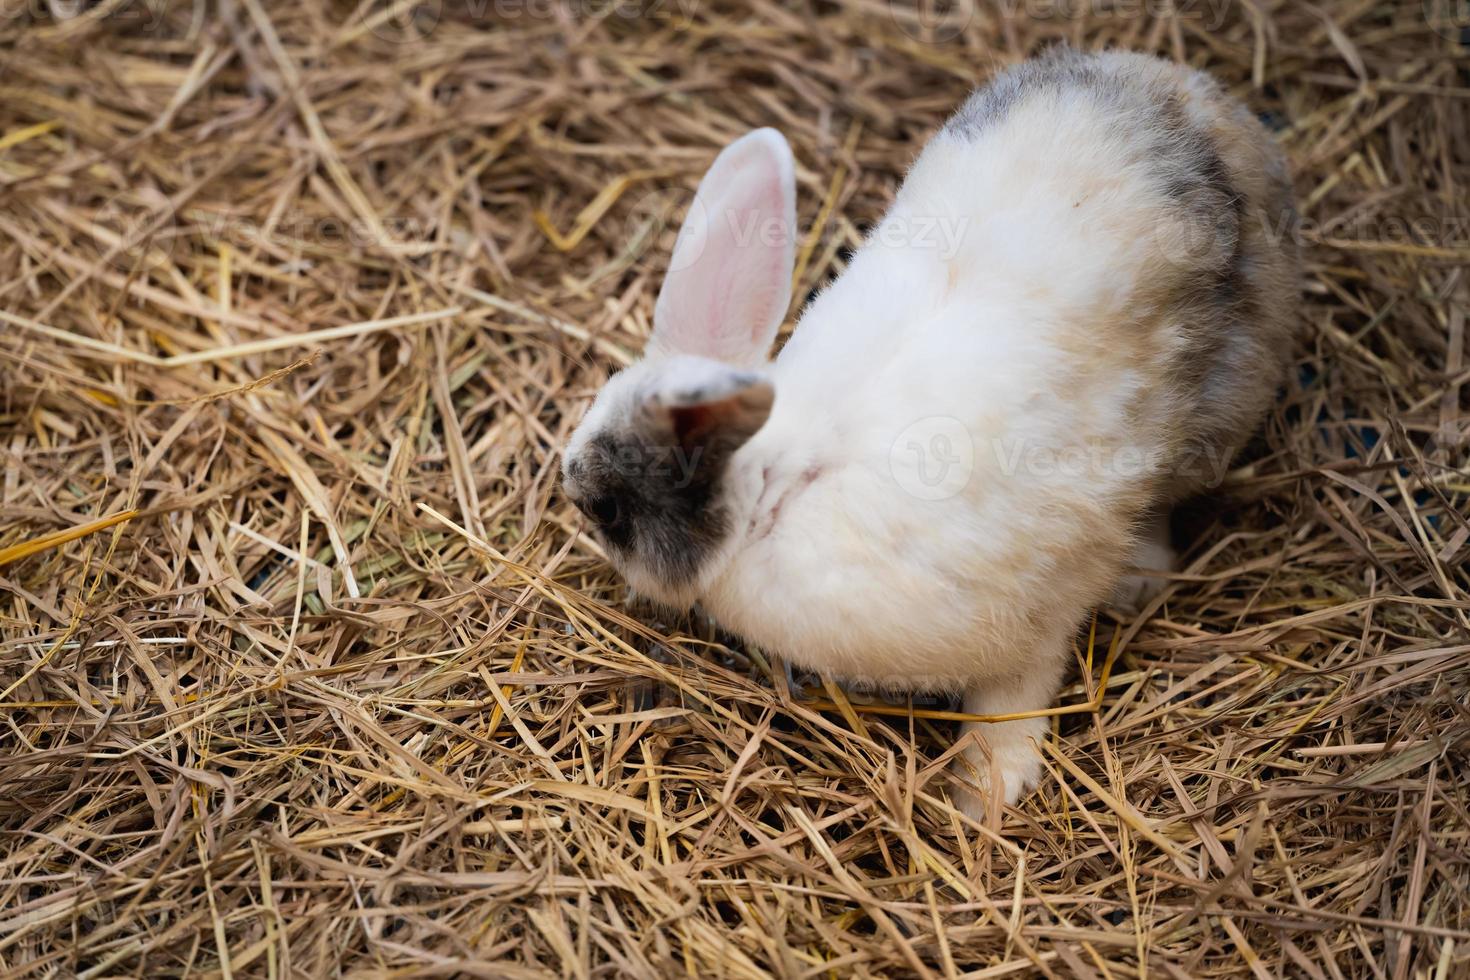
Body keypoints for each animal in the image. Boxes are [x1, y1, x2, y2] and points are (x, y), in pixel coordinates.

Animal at [558, 49, 1299, 822]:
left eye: (608, 508)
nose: (572, 491)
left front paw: (985, 792)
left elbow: (1016, 694)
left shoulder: (1043, 604)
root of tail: (1199, 97)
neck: (782, 486)